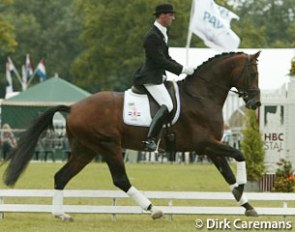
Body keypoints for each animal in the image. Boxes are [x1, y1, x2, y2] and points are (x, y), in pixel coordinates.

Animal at [2, 51, 262, 220]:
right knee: (120, 180)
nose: (256, 103)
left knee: (61, 176)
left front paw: (245, 202)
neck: (201, 95)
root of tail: (73, 107)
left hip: (86, 150)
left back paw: (60, 214)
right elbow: (239, 155)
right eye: (252, 73)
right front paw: (242, 189)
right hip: (108, 146)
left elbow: (228, 174)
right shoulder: (204, 144)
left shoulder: (210, 147)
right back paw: (153, 209)